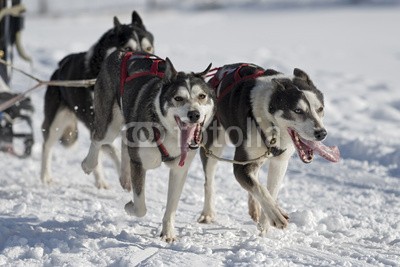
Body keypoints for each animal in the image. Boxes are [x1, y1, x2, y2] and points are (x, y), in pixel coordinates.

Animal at [40, 11, 153, 189]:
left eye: (148, 48)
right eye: (128, 49)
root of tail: (59, 66)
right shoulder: (100, 124)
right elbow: (113, 150)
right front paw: (125, 176)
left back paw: (100, 180)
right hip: (56, 123)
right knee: (47, 146)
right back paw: (46, 176)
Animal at [80, 50, 216, 243]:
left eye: (202, 96)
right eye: (178, 98)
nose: (194, 114)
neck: (169, 132)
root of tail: (122, 52)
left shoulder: (179, 170)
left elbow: (171, 207)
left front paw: (168, 233)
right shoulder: (139, 164)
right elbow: (140, 207)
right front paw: (130, 206)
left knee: (124, 140)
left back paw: (125, 177)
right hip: (109, 124)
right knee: (97, 138)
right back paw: (88, 164)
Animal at [198, 63, 340, 236]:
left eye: (320, 109)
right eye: (298, 110)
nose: (321, 133)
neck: (269, 121)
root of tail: (220, 71)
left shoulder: (279, 162)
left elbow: (269, 190)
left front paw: (265, 224)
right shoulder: (241, 166)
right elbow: (261, 190)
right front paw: (275, 216)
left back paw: (256, 208)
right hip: (213, 147)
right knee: (209, 181)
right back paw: (208, 213)